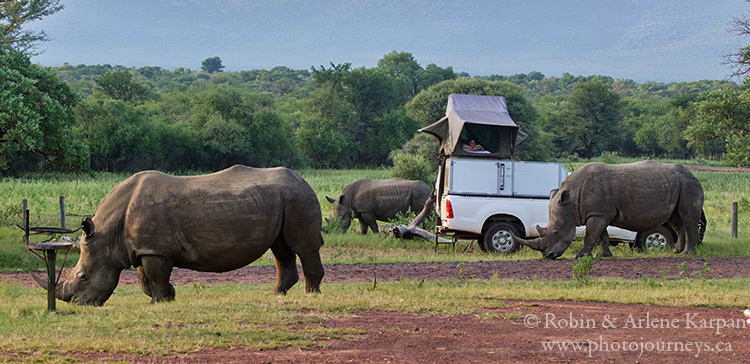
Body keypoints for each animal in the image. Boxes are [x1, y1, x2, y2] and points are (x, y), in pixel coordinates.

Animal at [47, 166, 324, 306]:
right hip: (282, 198)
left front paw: (161, 302)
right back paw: (276, 294)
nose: (78, 304)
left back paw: (312, 294)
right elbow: (145, 279)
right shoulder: (144, 247)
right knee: (281, 249)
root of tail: (303, 179)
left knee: (303, 247)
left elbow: (154, 277)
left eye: (83, 276)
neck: (108, 234)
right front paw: (167, 297)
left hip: (297, 196)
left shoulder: (155, 250)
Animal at [516, 161, 708, 258]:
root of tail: (694, 175)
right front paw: (605, 255)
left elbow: (591, 236)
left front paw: (580, 256)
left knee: (688, 218)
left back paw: (688, 254)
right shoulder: (600, 213)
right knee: (676, 220)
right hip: (677, 186)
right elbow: (602, 236)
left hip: (688, 185)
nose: (548, 255)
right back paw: (677, 252)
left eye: (556, 232)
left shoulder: (598, 214)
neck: (571, 199)